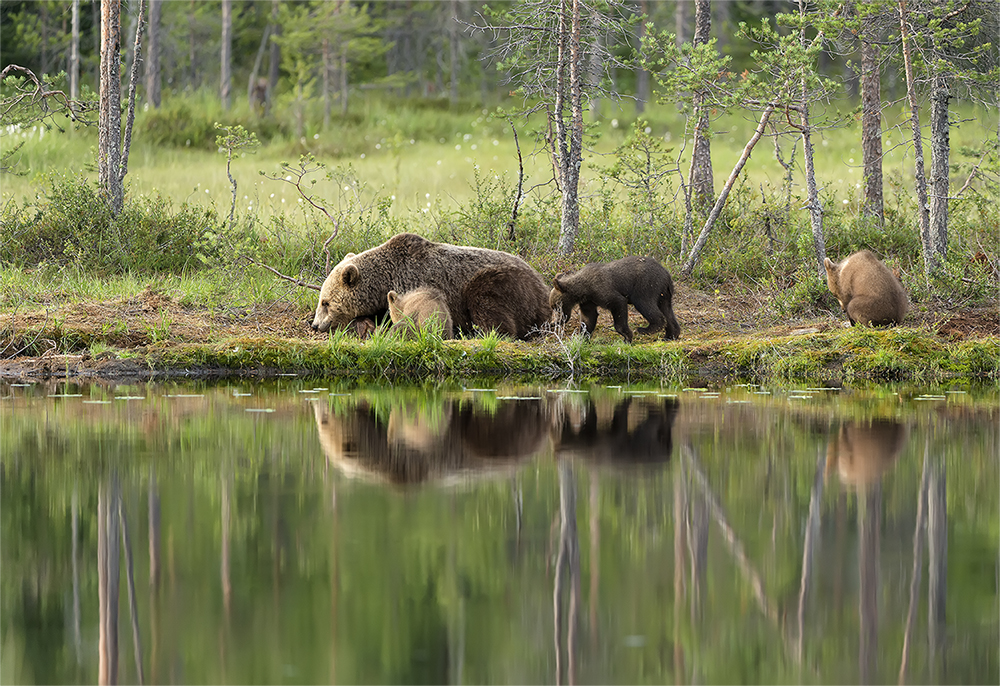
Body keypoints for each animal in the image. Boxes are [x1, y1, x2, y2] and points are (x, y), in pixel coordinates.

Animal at [310, 232, 552, 340]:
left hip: (501, 283)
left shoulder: (413, 285)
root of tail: (542, 286)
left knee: (489, 308)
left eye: (325, 302)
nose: (315, 325)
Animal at [548, 255, 680, 344]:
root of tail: (667, 274)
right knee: (667, 310)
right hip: (664, 293)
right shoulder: (588, 301)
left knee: (644, 303)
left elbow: (617, 303)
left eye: (556, 307)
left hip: (646, 285)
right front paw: (582, 337)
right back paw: (671, 335)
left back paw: (645, 329)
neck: (583, 289)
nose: (556, 321)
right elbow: (588, 318)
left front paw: (627, 337)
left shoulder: (602, 290)